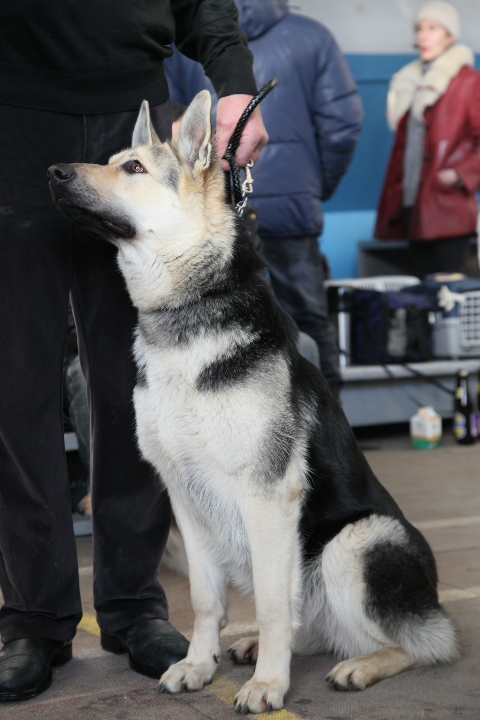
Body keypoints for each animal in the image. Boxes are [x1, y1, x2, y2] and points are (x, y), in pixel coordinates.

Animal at [48, 91, 458, 716]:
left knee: (421, 642)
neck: (187, 312)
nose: (54, 172)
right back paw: (256, 647)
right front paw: (199, 664)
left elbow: (269, 602)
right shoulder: (186, 500)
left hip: (352, 543)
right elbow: (204, 600)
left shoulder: (267, 498)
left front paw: (268, 685)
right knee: (313, 628)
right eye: (113, 161)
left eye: (134, 168)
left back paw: (358, 666)